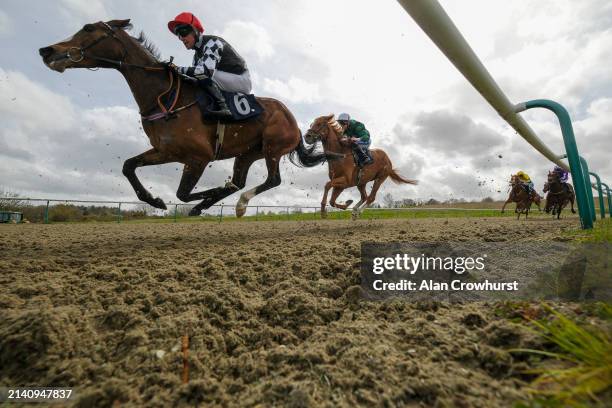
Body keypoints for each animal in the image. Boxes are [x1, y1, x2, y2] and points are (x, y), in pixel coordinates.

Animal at [38, 19, 326, 217]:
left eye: (88, 28)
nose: (47, 50)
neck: (163, 96)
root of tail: (293, 120)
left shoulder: (199, 157)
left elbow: (183, 193)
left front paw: (199, 198)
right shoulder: (166, 151)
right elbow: (129, 166)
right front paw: (155, 200)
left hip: (272, 148)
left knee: (270, 180)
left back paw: (239, 204)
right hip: (247, 153)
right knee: (238, 181)